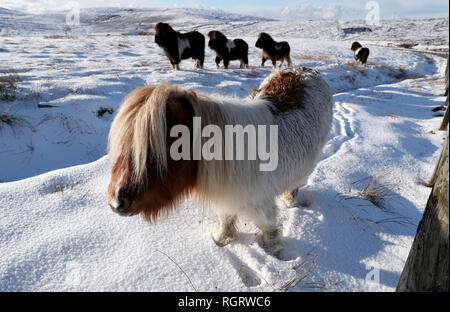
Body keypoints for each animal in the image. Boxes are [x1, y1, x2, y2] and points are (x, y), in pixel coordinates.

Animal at [107, 67, 334, 255]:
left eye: (153, 150)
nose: (116, 202)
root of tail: (307, 70)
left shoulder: (262, 203)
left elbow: (268, 227)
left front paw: (273, 251)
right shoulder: (227, 198)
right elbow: (226, 218)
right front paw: (222, 239)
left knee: (297, 183)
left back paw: (290, 200)